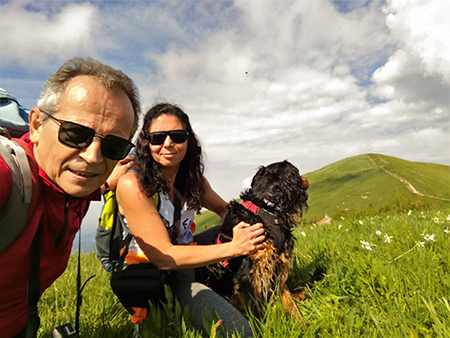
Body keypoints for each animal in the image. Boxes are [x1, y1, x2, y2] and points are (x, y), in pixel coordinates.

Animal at [198, 161, 308, 322]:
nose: (305, 179)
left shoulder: (278, 264)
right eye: (298, 172)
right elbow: (257, 312)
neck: (266, 210)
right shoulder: (249, 275)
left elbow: (289, 301)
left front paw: (302, 323)